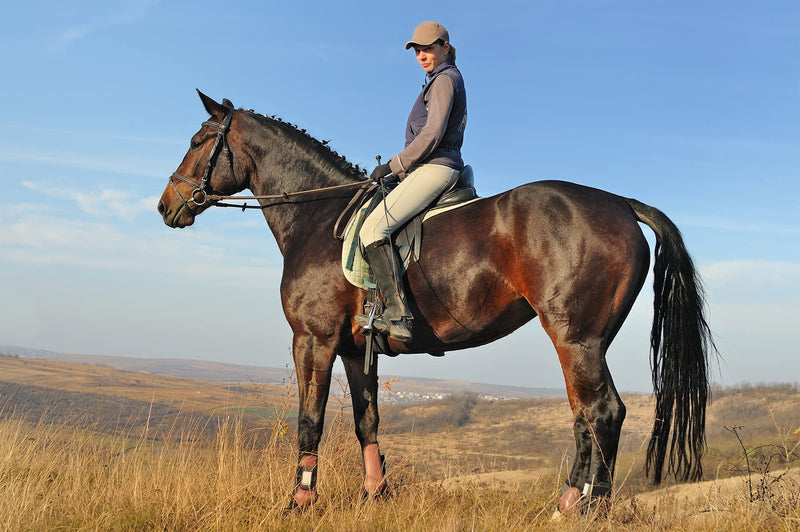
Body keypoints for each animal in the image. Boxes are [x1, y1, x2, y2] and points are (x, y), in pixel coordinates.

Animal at [158, 91, 713, 512]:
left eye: (198, 142)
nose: (167, 206)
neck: (317, 216)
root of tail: (621, 204)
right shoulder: (355, 348)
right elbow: (366, 420)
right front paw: (375, 495)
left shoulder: (312, 340)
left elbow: (309, 421)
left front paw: (300, 502)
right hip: (586, 342)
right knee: (587, 417)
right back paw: (568, 504)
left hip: (576, 339)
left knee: (601, 412)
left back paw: (584, 510)